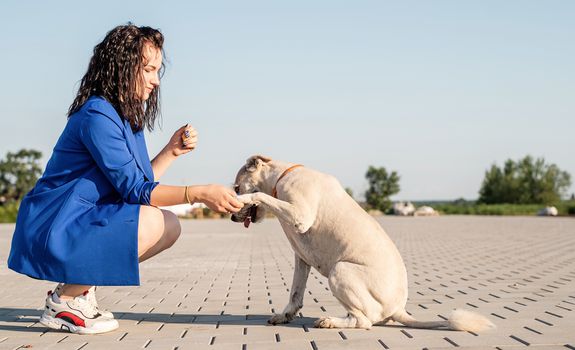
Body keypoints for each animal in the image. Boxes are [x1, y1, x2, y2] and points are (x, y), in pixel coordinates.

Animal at [232, 156, 498, 330]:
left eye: (236, 187)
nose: (233, 218)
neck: (282, 178)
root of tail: (398, 309)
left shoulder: (300, 216)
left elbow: (260, 194)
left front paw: (246, 198)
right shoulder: (302, 258)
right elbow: (295, 293)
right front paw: (285, 315)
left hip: (340, 271)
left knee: (364, 321)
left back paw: (330, 321)